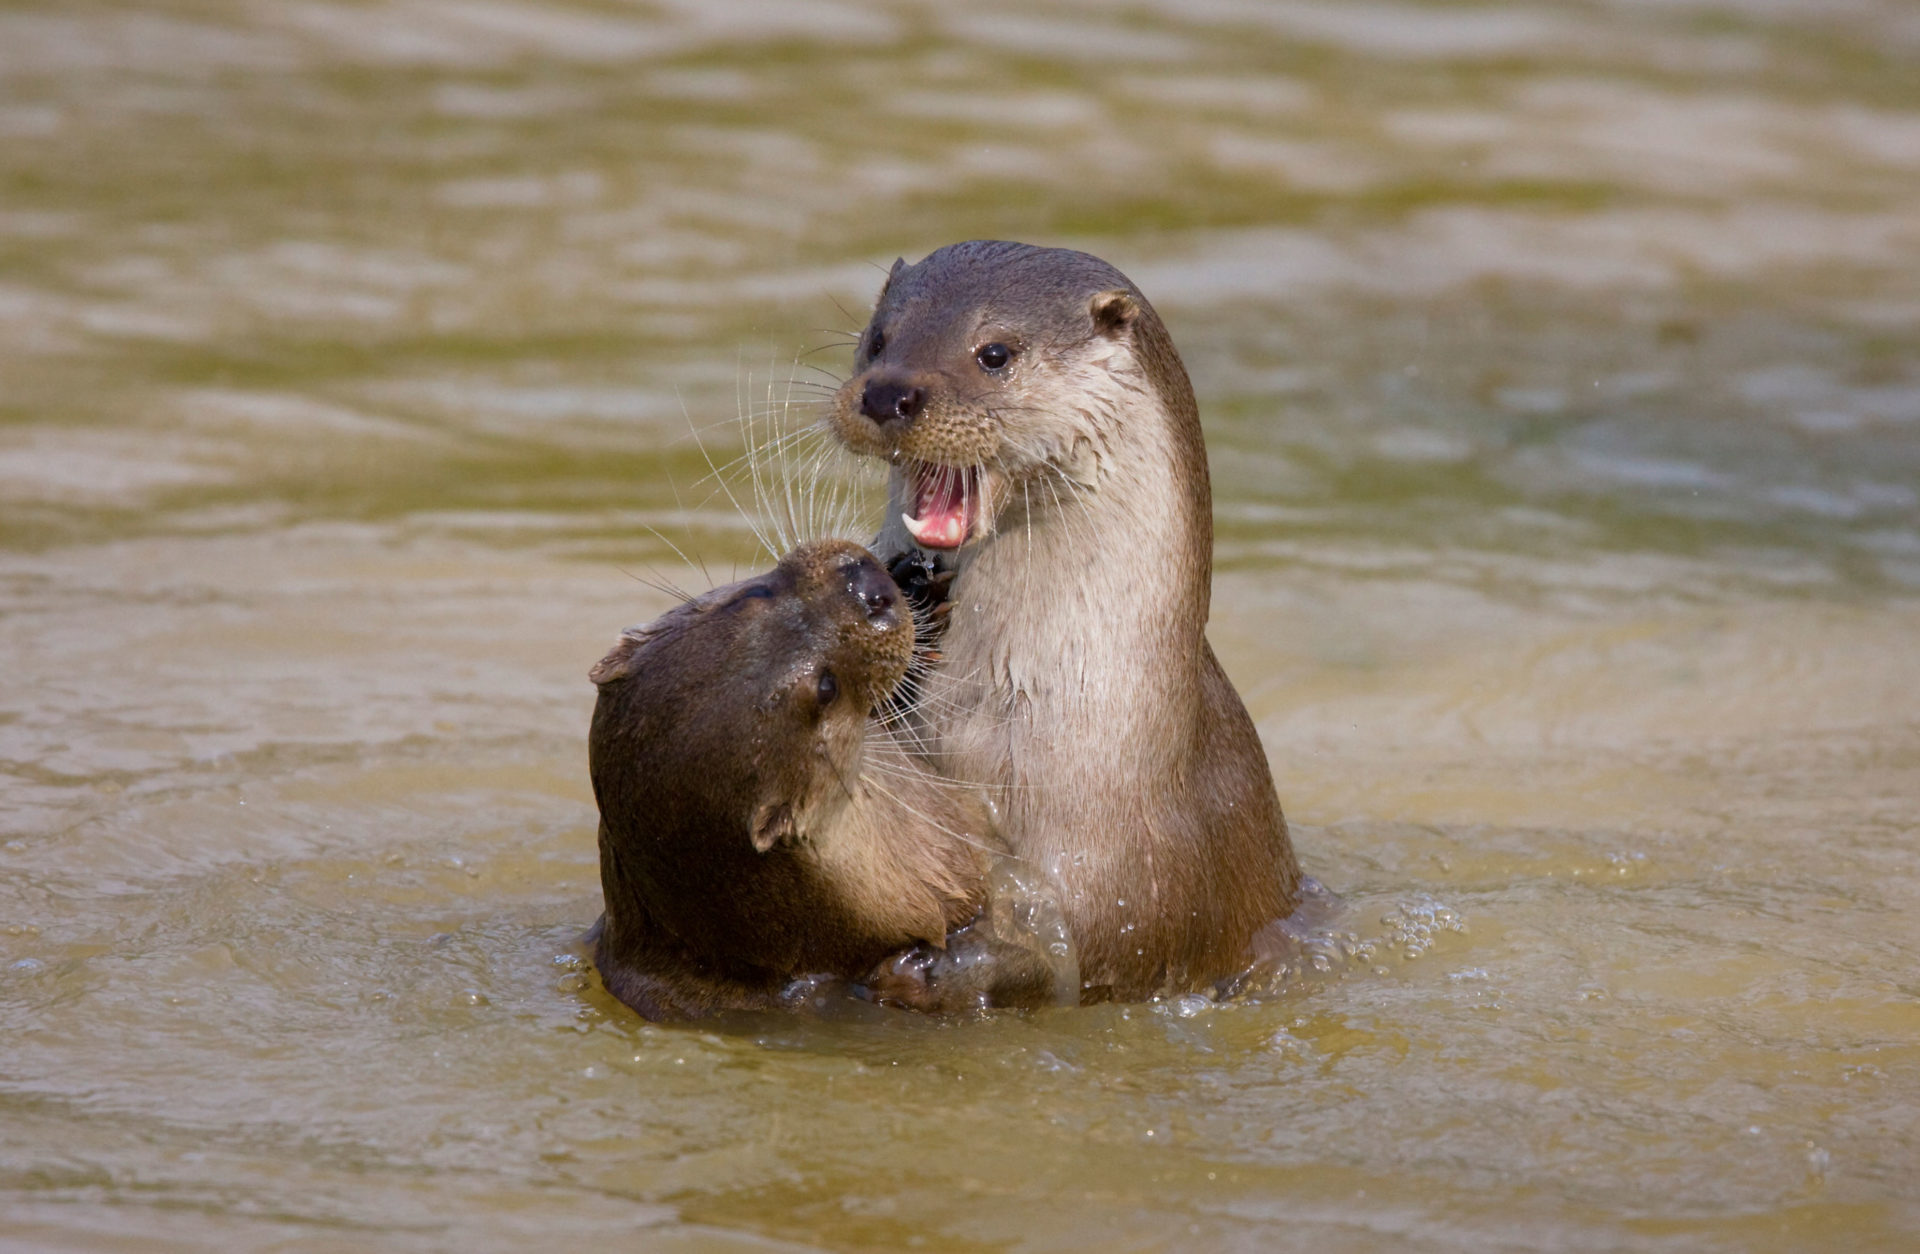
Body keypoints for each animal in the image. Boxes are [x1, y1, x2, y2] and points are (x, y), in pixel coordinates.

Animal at [829, 240, 1305, 1006]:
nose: (885, 392)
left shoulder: (1128, 884)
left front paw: (941, 968)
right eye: (878, 338)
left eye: (994, 353)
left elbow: (1077, 946)